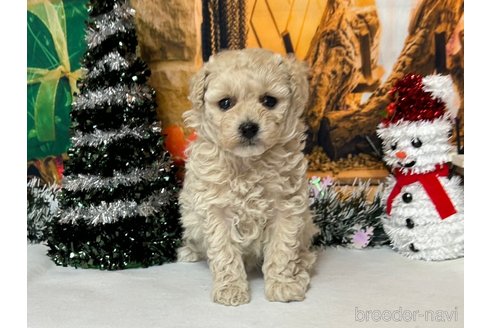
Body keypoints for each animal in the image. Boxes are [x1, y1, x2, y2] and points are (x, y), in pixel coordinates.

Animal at [179, 47, 318, 306]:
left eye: (269, 101)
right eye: (225, 103)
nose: (248, 127)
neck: (249, 164)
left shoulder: (286, 207)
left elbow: (283, 249)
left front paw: (283, 284)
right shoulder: (216, 210)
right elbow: (224, 253)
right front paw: (231, 289)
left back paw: (303, 263)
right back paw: (189, 251)